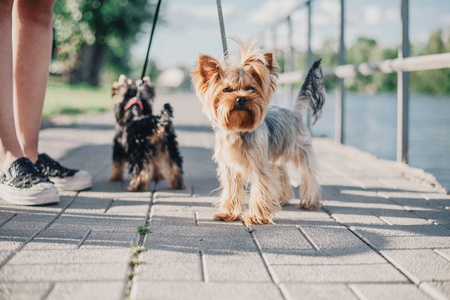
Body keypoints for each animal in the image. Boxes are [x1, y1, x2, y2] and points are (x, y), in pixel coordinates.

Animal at [192, 41, 326, 224]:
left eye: (250, 88)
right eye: (226, 90)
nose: (241, 98)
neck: (238, 129)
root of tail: (295, 113)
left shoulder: (259, 165)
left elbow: (260, 188)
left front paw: (256, 216)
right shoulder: (229, 167)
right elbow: (231, 190)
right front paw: (229, 213)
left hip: (302, 150)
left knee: (308, 175)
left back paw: (310, 202)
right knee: (281, 172)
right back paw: (282, 198)